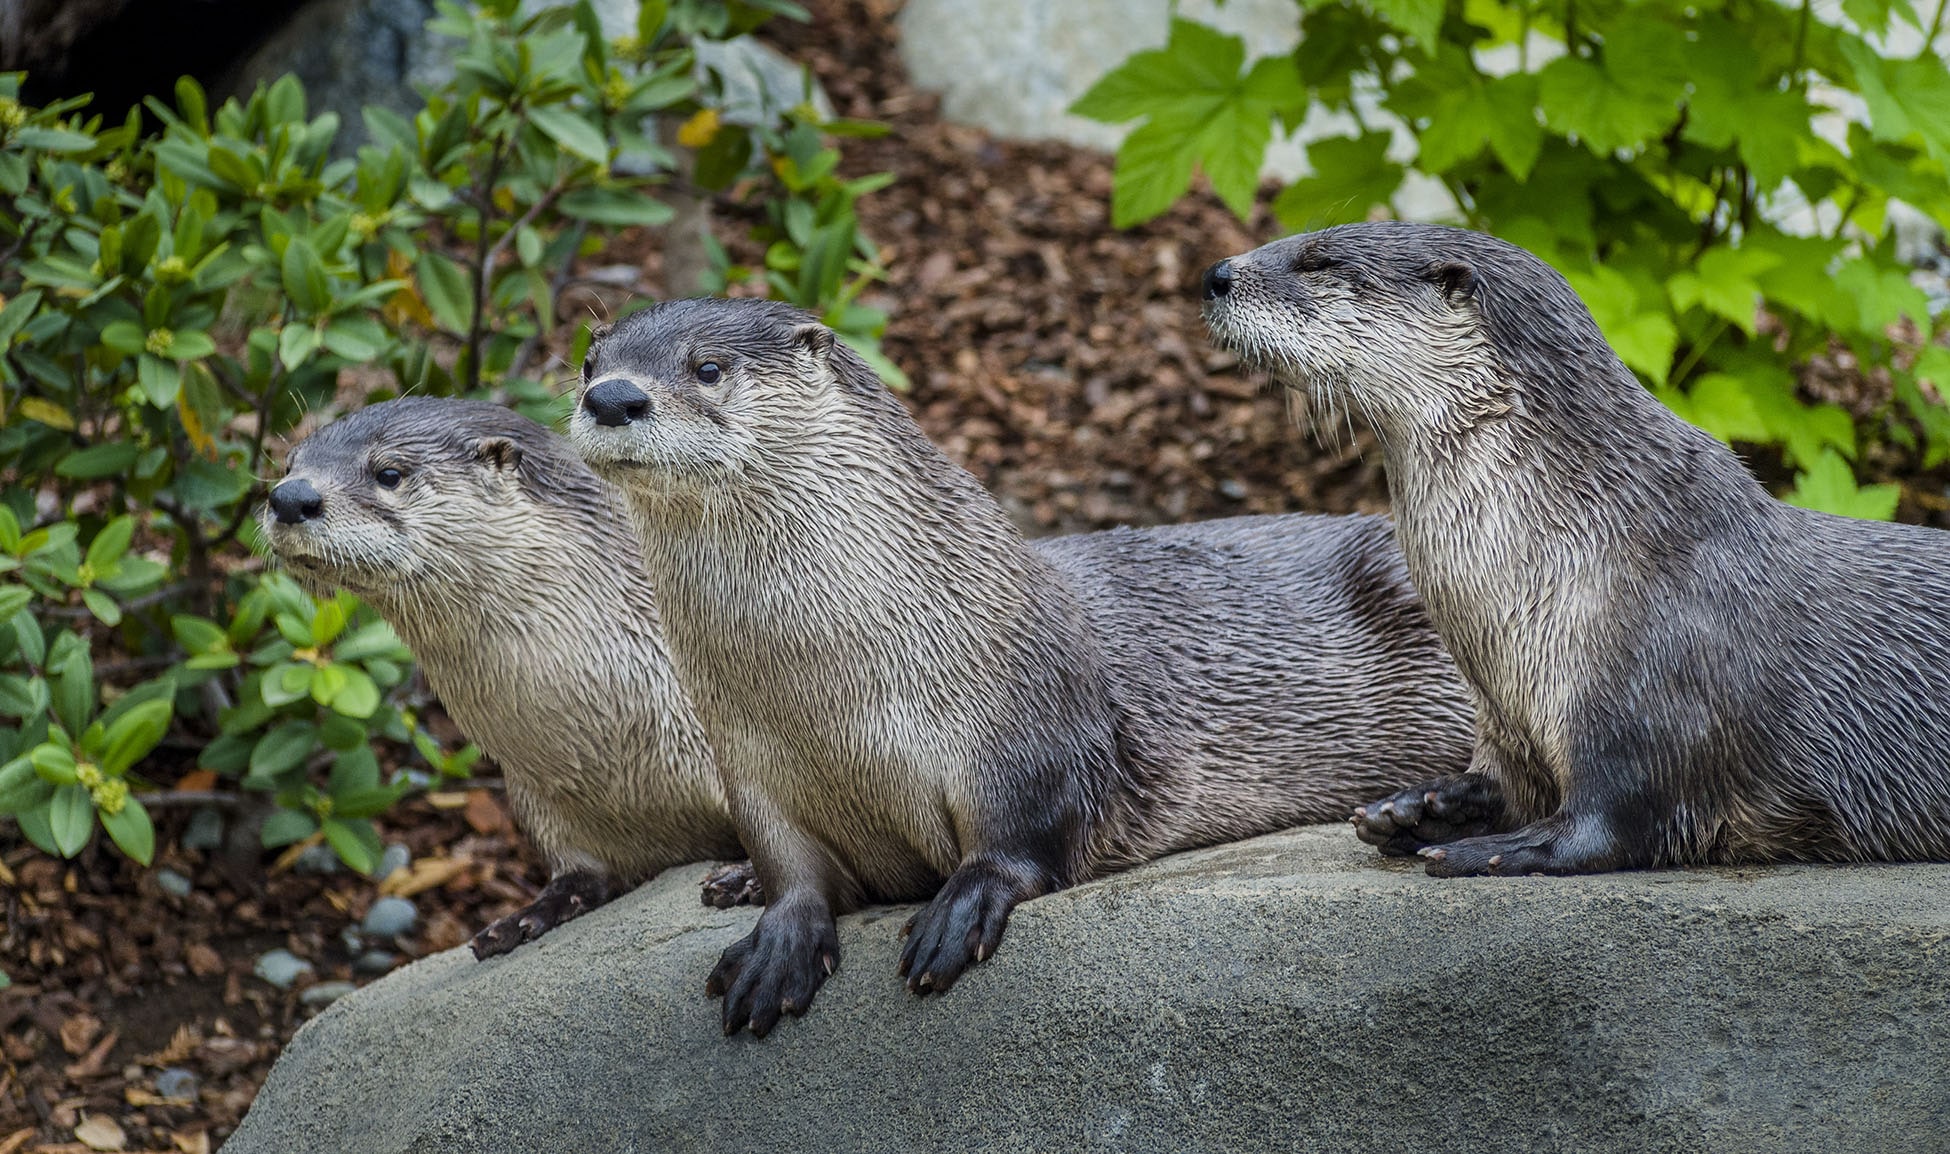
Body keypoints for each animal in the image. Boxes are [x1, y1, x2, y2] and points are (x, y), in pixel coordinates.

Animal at [259, 401, 744, 959]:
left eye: (389, 473)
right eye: (289, 463)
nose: (290, 498)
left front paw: (745, 880)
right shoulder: (546, 807)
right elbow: (582, 872)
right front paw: (531, 914)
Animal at [557, 298, 1466, 1037]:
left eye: (708, 367)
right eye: (590, 363)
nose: (612, 398)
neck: (832, 701)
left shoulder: (1025, 728)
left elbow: (1022, 836)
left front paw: (961, 909)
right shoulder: (750, 767)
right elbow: (791, 870)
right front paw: (776, 937)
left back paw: (1421, 818)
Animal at [1201, 223, 1950, 873]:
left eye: (1320, 261)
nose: (1214, 274)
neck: (1591, 544)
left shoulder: (1647, 702)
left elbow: (1606, 826)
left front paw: (1490, 851)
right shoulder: (1503, 717)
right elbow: (1506, 785)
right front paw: (1420, 806)